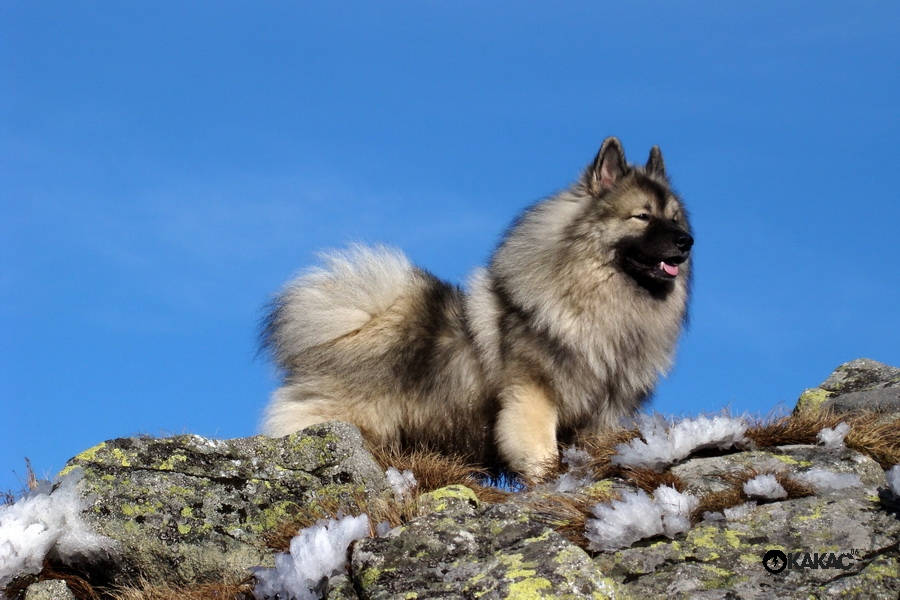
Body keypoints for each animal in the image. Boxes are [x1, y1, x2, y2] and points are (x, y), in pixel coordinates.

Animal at [260, 136, 696, 478]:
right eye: (642, 216)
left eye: (675, 218)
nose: (686, 241)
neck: (591, 297)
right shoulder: (532, 399)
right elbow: (541, 453)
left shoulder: (599, 417)